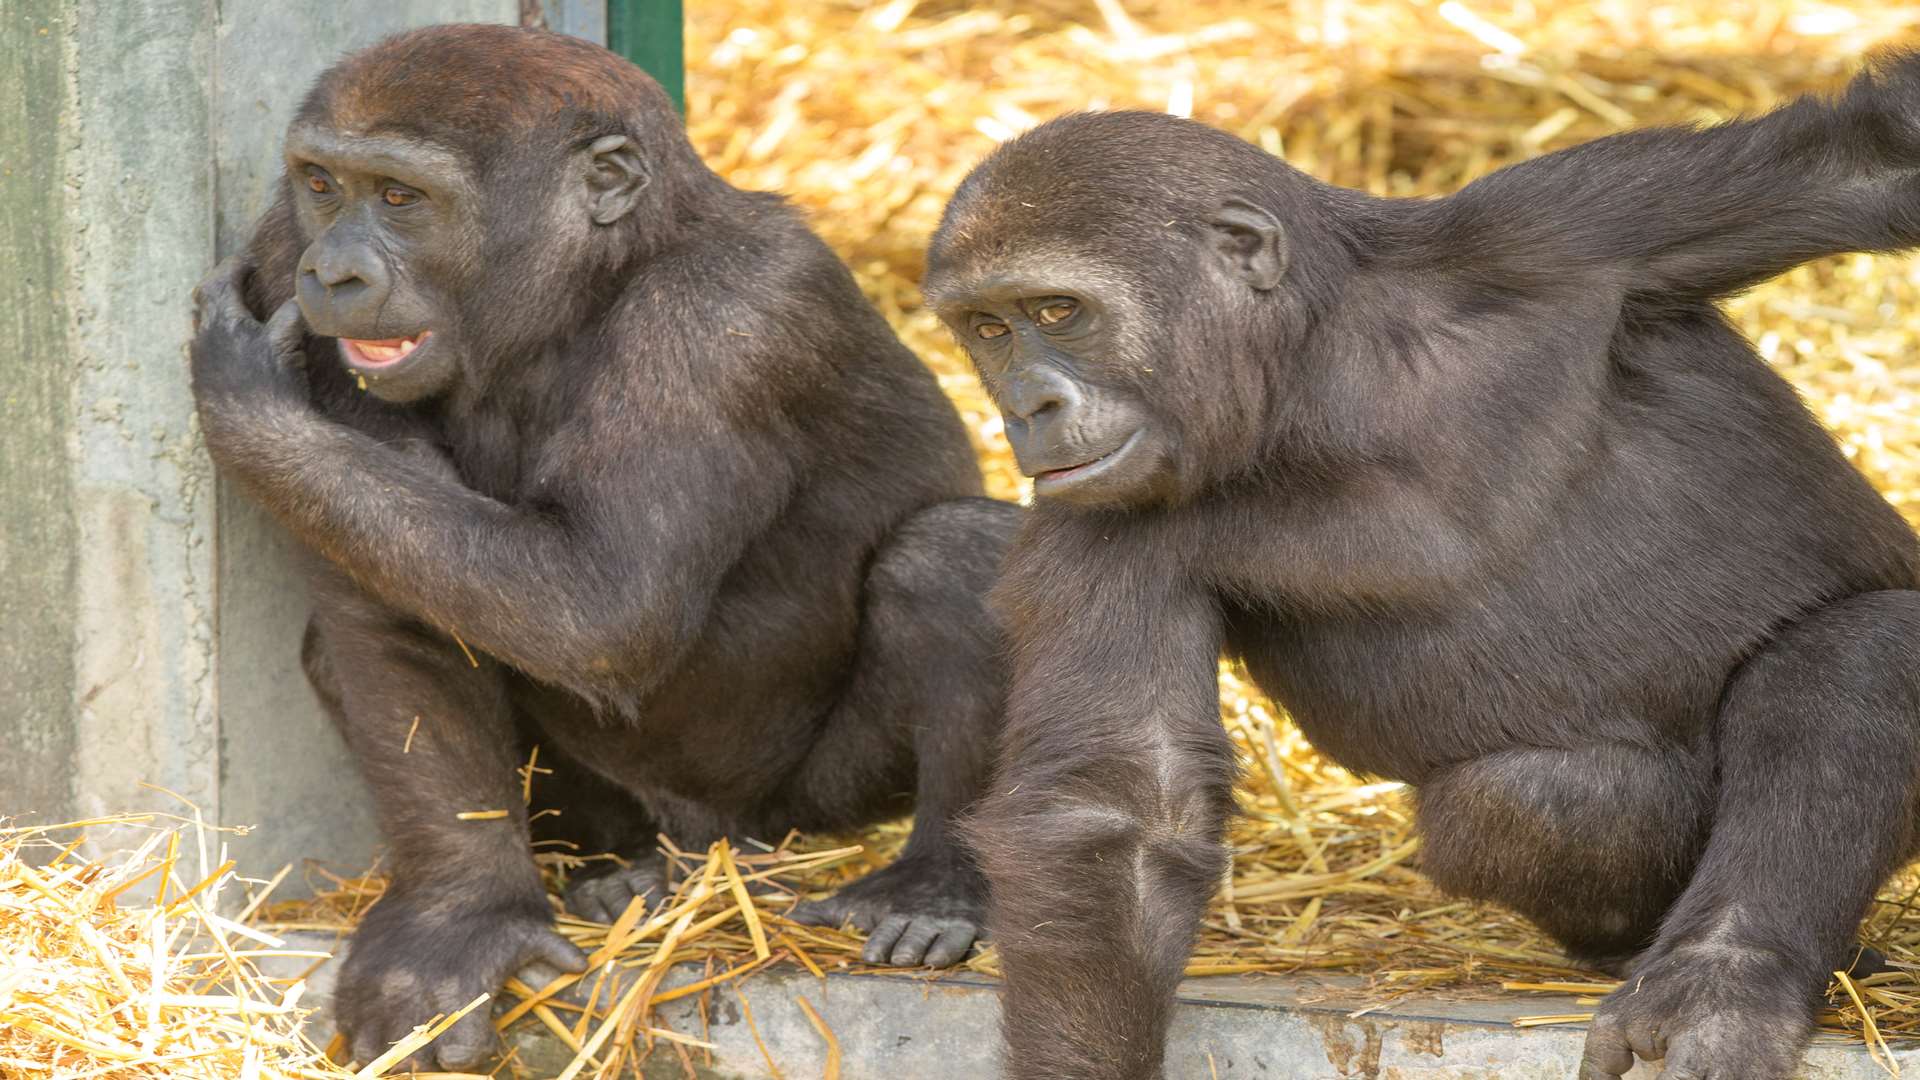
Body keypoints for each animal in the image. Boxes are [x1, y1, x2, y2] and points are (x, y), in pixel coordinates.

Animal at [192, 23, 1021, 1068]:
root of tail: (711, 850)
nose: (333, 274)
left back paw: (937, 884)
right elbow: (386, 616)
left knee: (954, 558)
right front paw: (459, 918)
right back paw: (613, 873)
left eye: (400, 197)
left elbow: (598, 606)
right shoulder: (276, 250)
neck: (598, 274)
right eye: (321, 184)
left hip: (801, 814)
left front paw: (255, 413)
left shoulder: (726, 314)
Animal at [925, 54, 1920, 1076]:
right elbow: (1119, 813)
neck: (1311, 372)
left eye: (1057, 311)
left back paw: (1728, 979)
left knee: (1859, 651)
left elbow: (1871, 161)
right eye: (987, 330)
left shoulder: (1558, 223)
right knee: (1550, 799)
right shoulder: (1096, 523)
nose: (1027, 409)